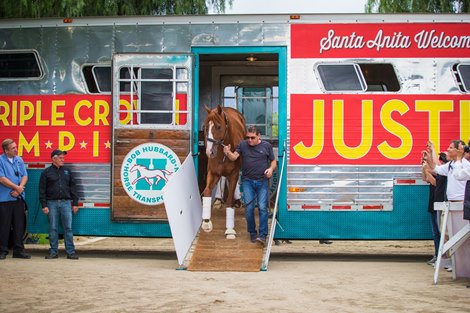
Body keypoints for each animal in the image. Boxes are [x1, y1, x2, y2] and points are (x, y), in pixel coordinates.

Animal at [201, 103, 246, 238]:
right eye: (205, 127)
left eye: (218, 127)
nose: (209, 152)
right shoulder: (213, 173)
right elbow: (206, 191)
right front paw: (206, 223)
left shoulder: (233, 174)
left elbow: (230, 199)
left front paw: (230, 230)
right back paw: (218, 199)